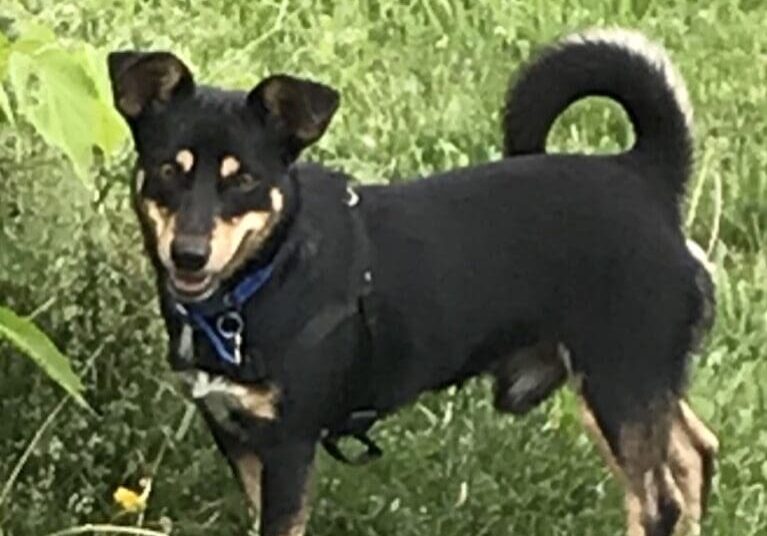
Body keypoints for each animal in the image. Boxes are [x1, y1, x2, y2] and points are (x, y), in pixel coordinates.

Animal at [108, 29, 720, 536]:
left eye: (244, 181)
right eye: (169, 169)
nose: (188, 255)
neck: (264, 278)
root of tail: (646, 176)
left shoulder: (289, 446)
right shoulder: (238, 438)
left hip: (620, 382)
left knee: (657, 504)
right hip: (630, 383)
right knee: (694, 454)